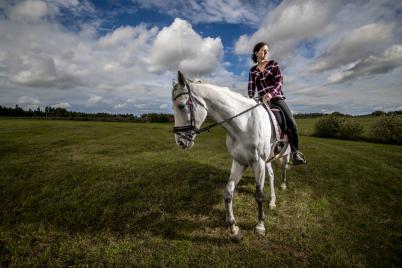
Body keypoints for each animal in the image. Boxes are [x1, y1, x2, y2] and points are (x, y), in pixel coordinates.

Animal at [171, 70, 290, 239]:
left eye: (181, 106)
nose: (180, 142)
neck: (243, 124)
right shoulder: (239, 162)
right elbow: (228, 193)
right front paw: (233, 228)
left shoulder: (258, 163)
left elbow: (259, 195)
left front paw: (260, 226)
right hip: (267, 160)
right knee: (272, 175)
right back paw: (272, 201)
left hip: (284, 154)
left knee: (284, 168)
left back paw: (283, 185)